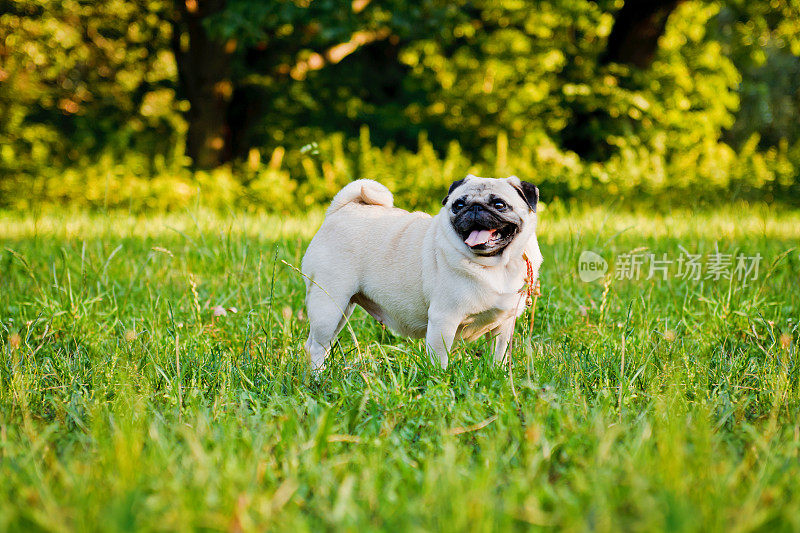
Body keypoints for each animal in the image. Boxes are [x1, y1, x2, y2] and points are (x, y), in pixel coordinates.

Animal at [302, 175, 544, 370]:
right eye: (458, 205)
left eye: (499, 204)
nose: (474, 208)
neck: (496, 266)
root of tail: (339, 210)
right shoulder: (444, 320)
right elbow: (439, 359)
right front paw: (440, 382)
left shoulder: (503, 326)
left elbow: (497, 355)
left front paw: (497, 375)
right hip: (329, 304)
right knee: (317, 347)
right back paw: (318, 378)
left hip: (342, 309)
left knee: (316, 344)